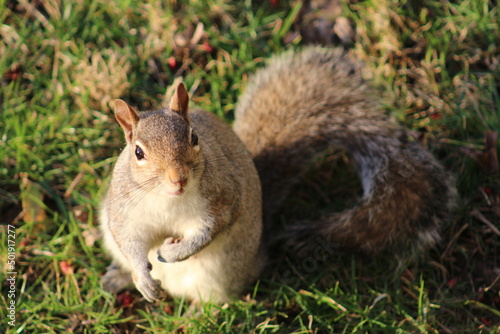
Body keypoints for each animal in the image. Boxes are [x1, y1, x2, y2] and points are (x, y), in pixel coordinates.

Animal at [99, 45, 456, 304]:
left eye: (194, 137)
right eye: (138, 153)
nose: (179, 179)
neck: (167, 199)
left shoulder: (222, 197)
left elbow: (211, 229)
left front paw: (175, 250)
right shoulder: (123, 211)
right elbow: (130, 242)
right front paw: (143, 278)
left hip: (217, 276)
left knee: (214, 303)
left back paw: (197, 314)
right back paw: (120, 278)